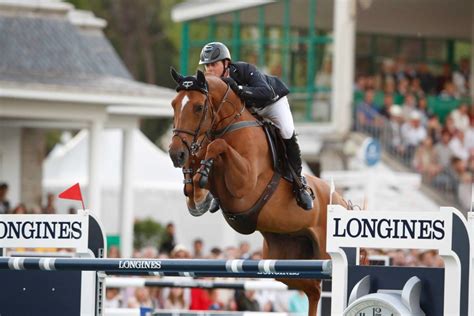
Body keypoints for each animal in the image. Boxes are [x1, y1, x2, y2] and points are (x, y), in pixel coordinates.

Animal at [168, 68, 346, 314]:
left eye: (198, 107)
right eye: (174, 104)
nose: (175, 154)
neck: (229, 125)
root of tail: (344, 202)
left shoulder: (244, 183)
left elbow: (217, 146)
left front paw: (202, 176)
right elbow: (200, 167)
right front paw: (197, 190)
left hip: (324, 255)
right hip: (285, 263)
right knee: (313, 290)